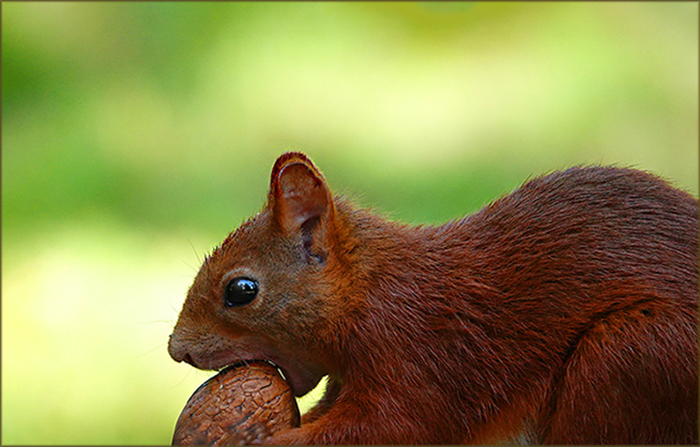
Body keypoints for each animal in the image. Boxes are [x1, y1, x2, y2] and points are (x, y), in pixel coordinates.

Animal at [168, 152, 698, 444]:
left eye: (241, 291)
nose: (178, 350)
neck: (370, 292)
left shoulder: (419, 359)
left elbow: (386, 427)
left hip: (629, 357)